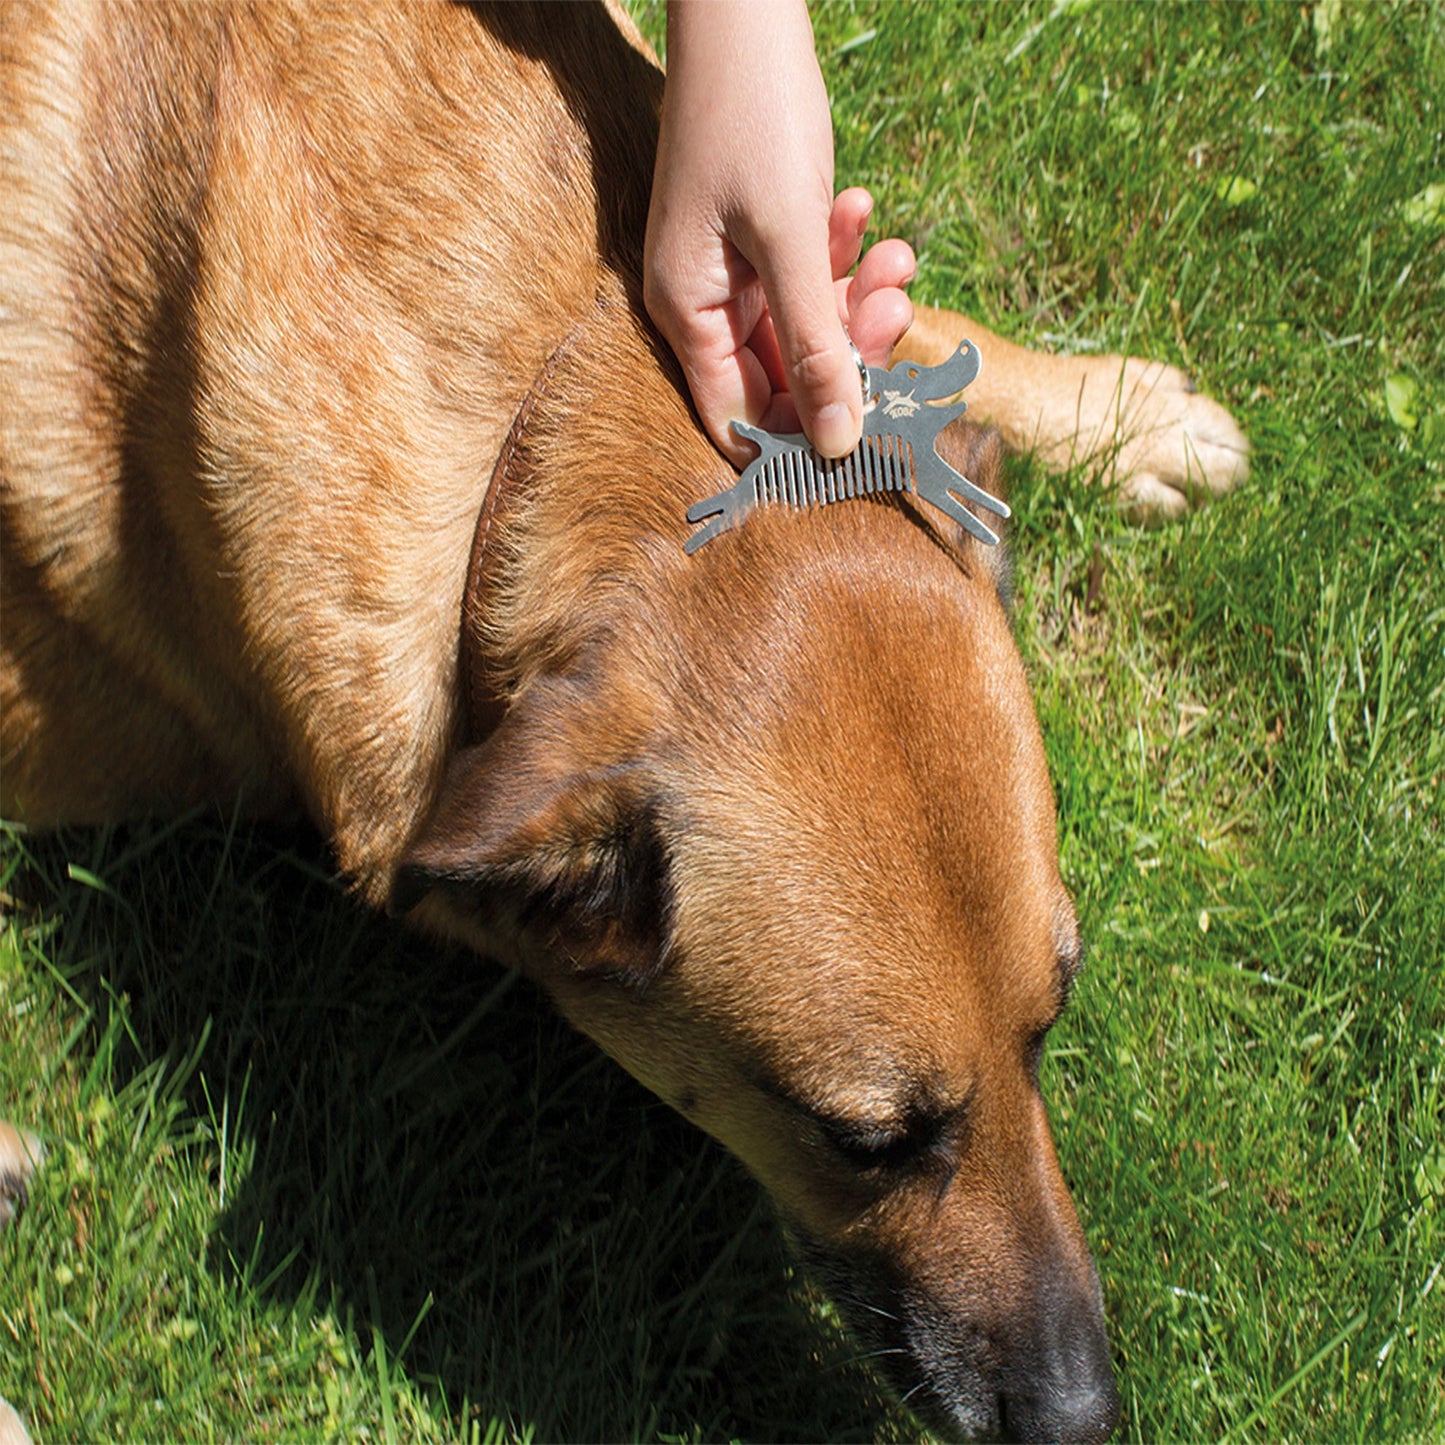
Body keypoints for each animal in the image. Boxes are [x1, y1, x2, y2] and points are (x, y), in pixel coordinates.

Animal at [0, 5, 1248, 1439]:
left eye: (1049, 1024)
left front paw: (1116, 411)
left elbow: (909, 340)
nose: (1083, 1415)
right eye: (862, 1141)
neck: (547, 401)